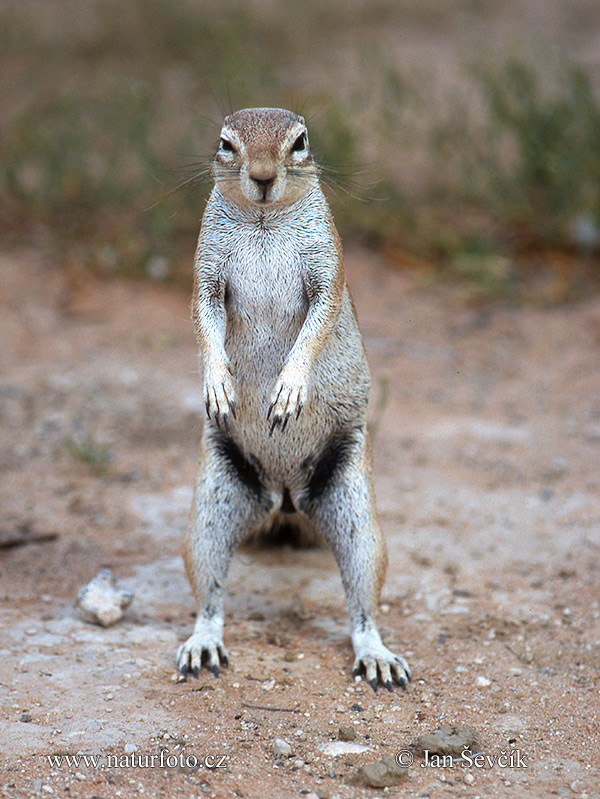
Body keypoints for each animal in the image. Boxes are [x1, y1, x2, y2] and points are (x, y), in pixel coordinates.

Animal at [177, 106, 412, 692]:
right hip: (211, 508)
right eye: (226, 143)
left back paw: (377, 655)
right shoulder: (205, 273)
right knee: (210, 594)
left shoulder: (329, 269)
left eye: (300, 142)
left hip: (356, 511)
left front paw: (288, 389)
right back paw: (203, 642)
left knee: (363, 603)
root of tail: (284, 494)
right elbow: (204, 322)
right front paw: (218, 383)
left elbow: (317, 324)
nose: (262, 177)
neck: (265, 222)